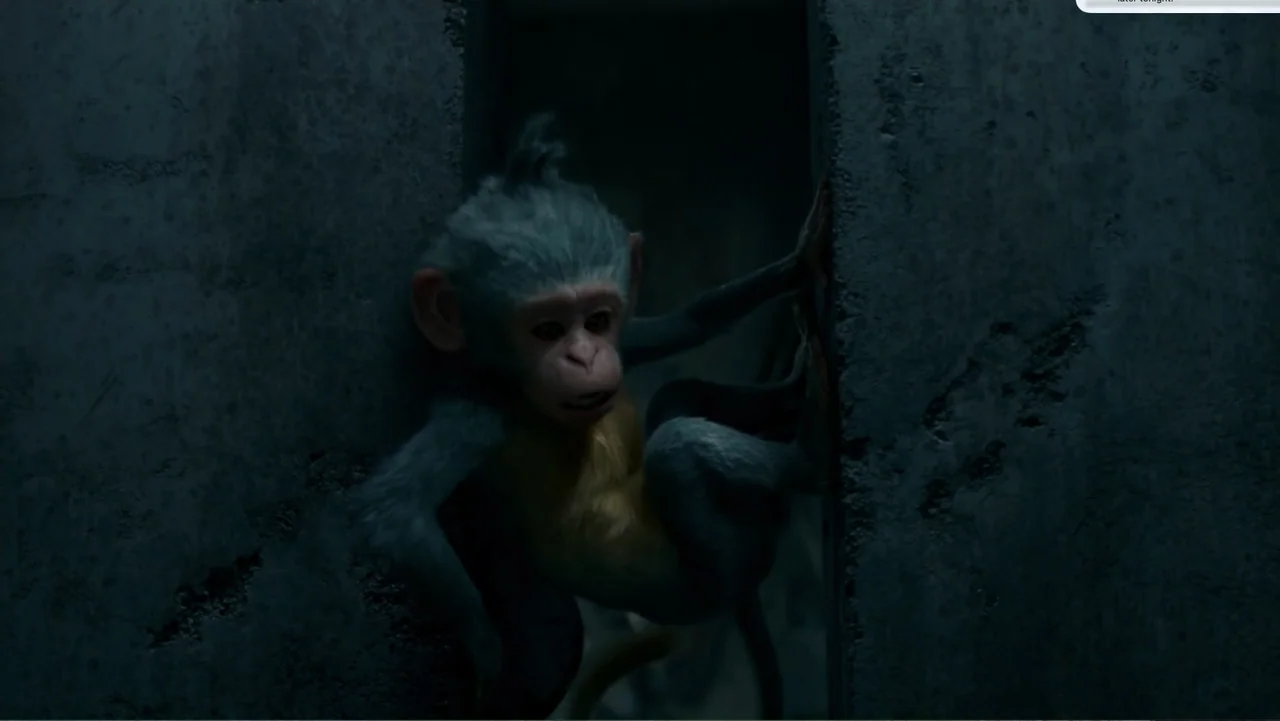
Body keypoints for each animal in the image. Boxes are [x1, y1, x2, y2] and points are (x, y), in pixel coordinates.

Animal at [350, 114, 831, 719]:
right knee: (677, 446)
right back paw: (810, 450)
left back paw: (790, 395)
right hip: (717, 570)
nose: (585, 357)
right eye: (548, 330)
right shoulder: (477, 405)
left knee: (673, 396)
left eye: (598, 320)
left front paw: (798, 260)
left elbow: (687, 323)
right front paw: (489, 654)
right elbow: (395, 511)